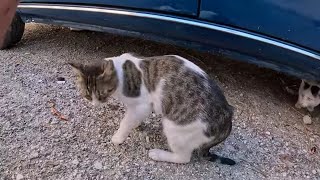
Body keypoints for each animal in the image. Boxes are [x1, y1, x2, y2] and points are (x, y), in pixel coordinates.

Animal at [69, 52, 235, 165]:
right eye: (87, 96)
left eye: (102, 94)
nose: (95, 104)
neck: (122, 73)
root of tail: (227, 117)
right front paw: (135, 124)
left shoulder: (143, 104)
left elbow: (126, 121)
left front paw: (118, 137)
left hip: (175, 127)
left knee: (184, 158)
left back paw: (158, 154)